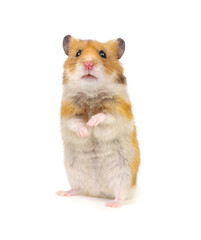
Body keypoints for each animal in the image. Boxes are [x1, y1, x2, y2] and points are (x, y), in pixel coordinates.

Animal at [56, 34, 141, 207]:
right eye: (78, 53)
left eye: (103, 54)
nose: (88, 63)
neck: (91, 92)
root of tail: (98, 193)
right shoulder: (68, 113)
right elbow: (75, 123)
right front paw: (85, 131)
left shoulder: (119, 111)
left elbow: (104, 116)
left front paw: (91, 123)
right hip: (73, 172)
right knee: (77, 188)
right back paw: (63, 193)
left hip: (123, 174)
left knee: (120, 194)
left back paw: (112, 204)